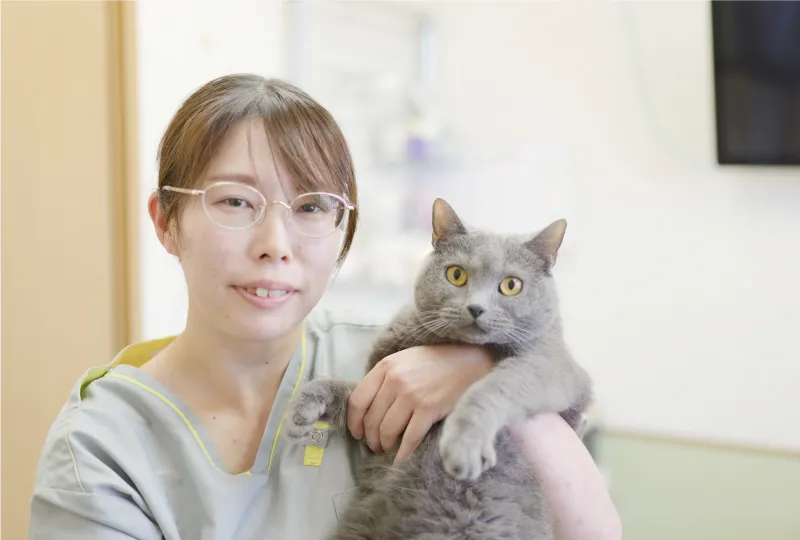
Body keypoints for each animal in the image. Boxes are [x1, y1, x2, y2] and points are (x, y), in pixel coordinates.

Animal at [284, 198, 592, 540]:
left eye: (512, 285)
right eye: (456, 275)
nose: (476, 308)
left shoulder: (554, 365)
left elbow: (499, 385)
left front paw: (463, 445)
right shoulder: (372, 402)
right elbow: (345, 389)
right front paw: (300, 412)